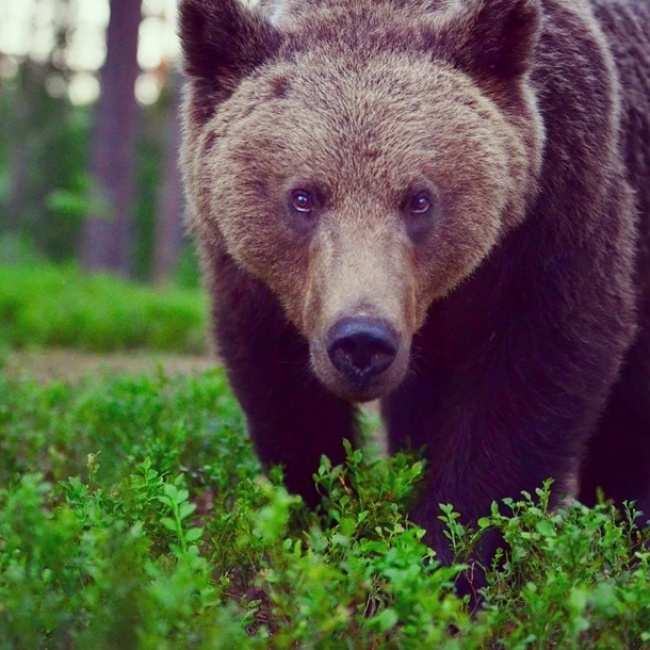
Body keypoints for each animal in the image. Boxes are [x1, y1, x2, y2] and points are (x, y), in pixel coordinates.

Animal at [177, 0, 648, 588]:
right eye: (303, 197)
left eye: (419, 198)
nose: (361, 340)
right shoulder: (255, 279)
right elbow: (282, 389)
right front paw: (315, 519)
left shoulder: (558, 201)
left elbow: (535, 374)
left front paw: (446, 554)